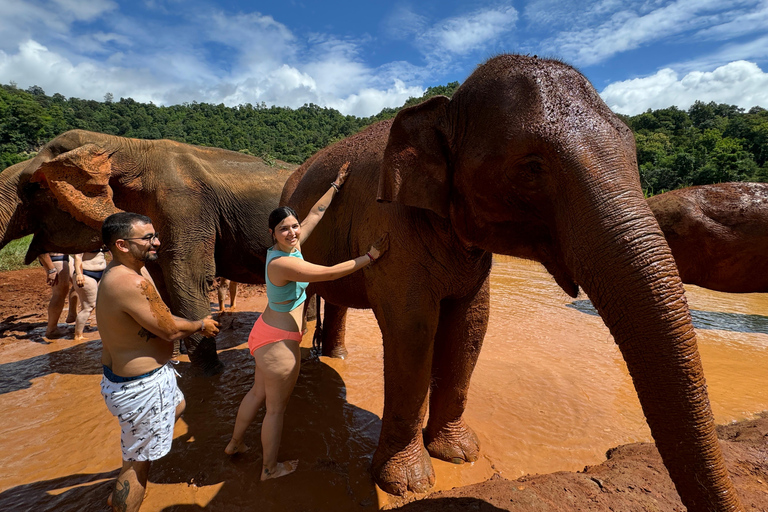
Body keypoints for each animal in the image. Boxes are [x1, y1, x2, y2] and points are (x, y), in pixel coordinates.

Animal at [0, 130, 294, 374]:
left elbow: (191, 279)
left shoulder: (183, 206)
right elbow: (164, 286)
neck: (125, 146)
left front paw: (211, 375)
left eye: (31, 187)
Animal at [282, 54, 744, 510]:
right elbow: (412, 328)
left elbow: (471, 325)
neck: (446, 107)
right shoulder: (390, 223)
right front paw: (407, 485)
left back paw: (337, 357)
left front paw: (460, 454)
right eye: (531, 168)